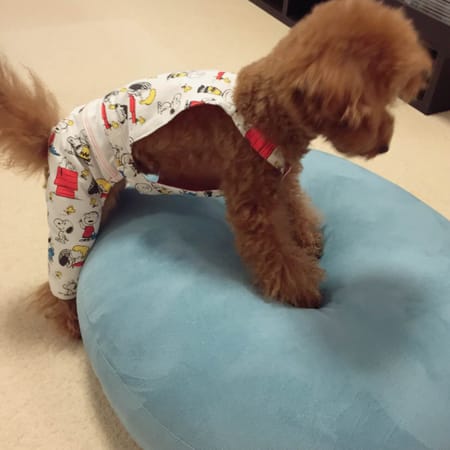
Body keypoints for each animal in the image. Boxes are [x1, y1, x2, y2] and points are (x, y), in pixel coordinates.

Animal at [0, 0, 431, 339]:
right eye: (364, 107)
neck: (264, 108)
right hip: (76, 205)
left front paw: (309, 239)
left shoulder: (282, 179)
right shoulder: (252, 203)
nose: (385, 145)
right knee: (58, 280)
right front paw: (306, 293)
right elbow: (276, 255)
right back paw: (70, 321)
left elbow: (297, 208)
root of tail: (51, 135)